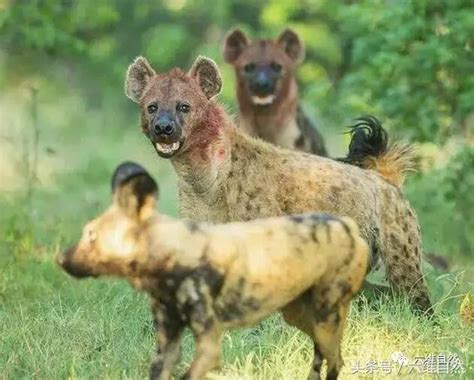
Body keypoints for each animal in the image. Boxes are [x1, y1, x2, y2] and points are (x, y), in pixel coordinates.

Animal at [58, 163, 370, 380]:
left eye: (91, 237)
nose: (60, 258)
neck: (170, 258)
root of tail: (348, 226)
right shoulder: (167, 345)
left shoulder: (208, 346)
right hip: (300, 316)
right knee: (326, 358)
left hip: (324, 315)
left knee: (335, 360)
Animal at [125, 55, 434, 316]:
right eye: (152, 107)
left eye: (184, 107)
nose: (163, 128)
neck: (204, 180)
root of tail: (385, 177)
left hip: (400, 246)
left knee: (414, 293)